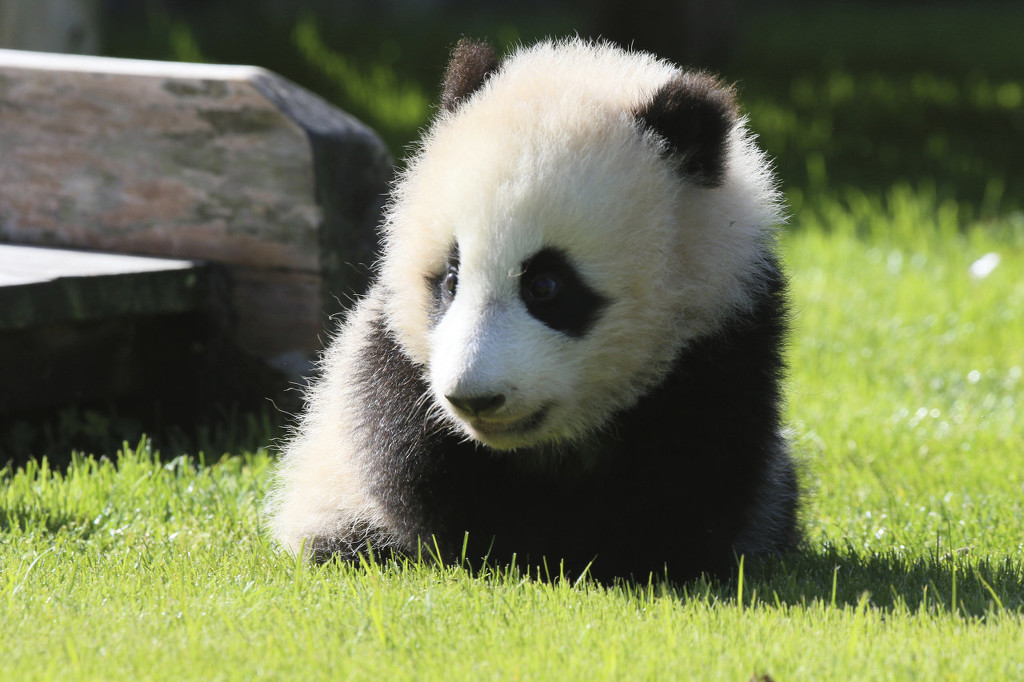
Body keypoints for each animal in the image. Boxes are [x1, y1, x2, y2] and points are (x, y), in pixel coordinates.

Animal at [266, 37, 798, 577]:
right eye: (451, 280)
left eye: (545, 286)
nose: (475, 399)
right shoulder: (393, 357)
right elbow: (411, 457)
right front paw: (517, 547)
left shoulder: (721, 332)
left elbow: (693, 473)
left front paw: (620, 556)